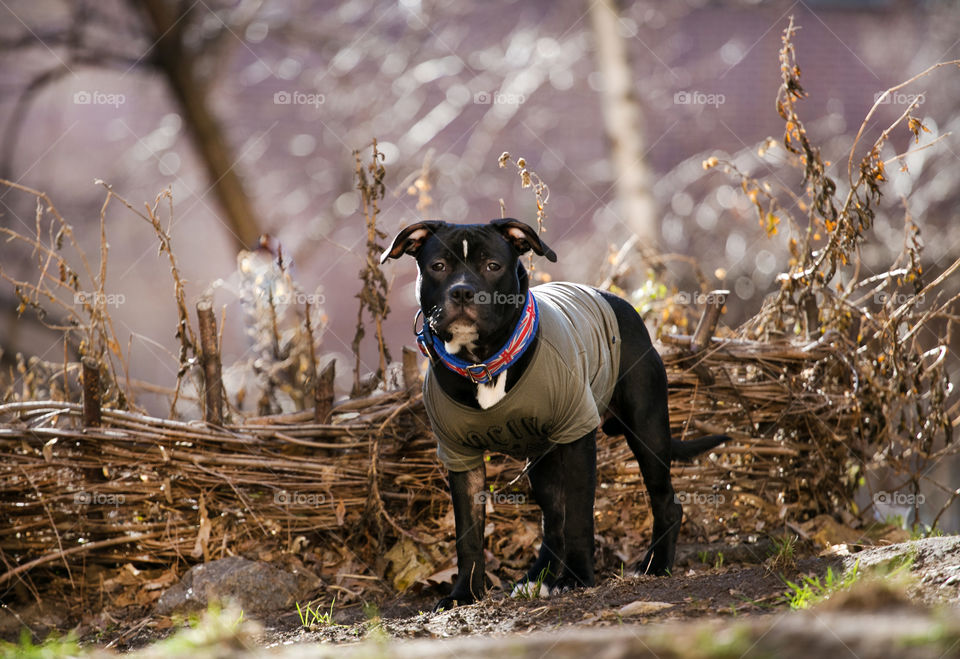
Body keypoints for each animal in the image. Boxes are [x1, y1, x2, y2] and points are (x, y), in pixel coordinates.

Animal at [378, 219, 724, 612]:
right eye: (438, 266)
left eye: (492, 266)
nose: (463, 292)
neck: (483, 362)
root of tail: (618, 302)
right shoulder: (459, 457)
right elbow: (468, 533)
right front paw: (464, 594)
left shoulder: (577, 439)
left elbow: (579, 517)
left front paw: (575, 579)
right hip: (542, 460)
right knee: (553, 518)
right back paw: (537, 578)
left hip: (646, 429)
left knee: (665, 502)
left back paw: (655, 565)